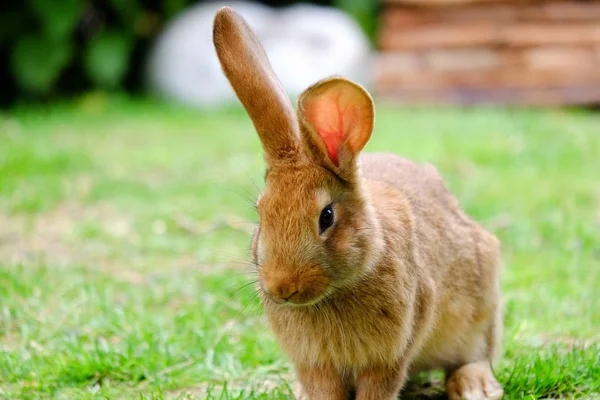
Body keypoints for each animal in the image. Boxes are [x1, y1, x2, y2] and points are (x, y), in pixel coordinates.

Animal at [213, 6, 504, 400]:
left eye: (327, 216)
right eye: (261, 214)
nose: (282, 288)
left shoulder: (389, 356)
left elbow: (378, 388)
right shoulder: (316, 364)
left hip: (480, 309)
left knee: (476, 354)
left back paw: (474, 387)